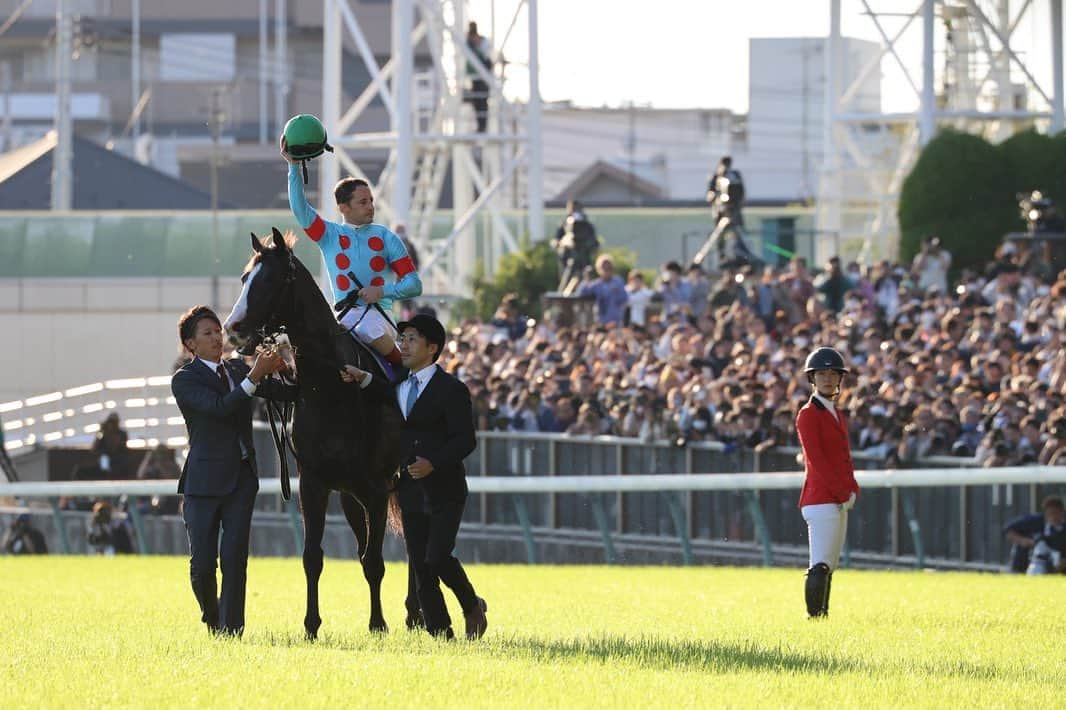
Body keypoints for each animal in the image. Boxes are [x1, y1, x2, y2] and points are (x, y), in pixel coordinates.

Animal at [224, 228, 402, 635]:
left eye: (270, 280)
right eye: (243, 278)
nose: (233, 328)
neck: (332, 387)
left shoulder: (377, 488)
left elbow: (375, 560)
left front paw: (378, 624)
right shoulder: (314, 482)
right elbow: (312, 556)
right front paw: (311, 623)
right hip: (351, 496)